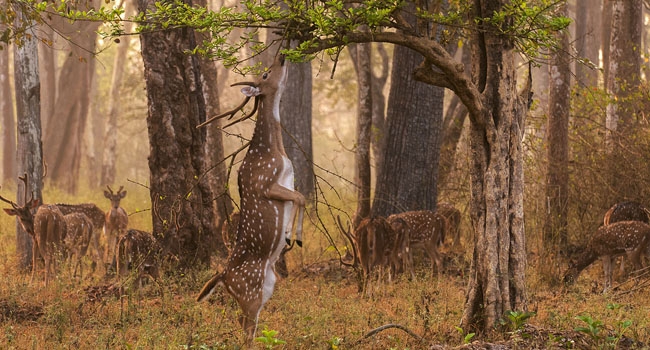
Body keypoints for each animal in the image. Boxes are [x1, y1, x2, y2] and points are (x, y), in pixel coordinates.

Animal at [194, 53, 306, 344]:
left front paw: (290, 235)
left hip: (267, 286)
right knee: (245, 325)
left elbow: (299, 197)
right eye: (265, 74)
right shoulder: (265, 184)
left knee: (245, 322)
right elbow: (300, 198)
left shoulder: (287, 182)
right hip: (250, 291)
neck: (275, 151)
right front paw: (292, 236)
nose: (282, 56)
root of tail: (222, 276)